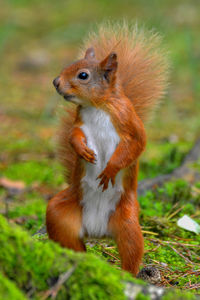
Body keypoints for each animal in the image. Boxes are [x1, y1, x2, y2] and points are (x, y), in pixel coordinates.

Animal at [46, 22, 168, 276]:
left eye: (83, 75)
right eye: (69, 65)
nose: (55, 82)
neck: (97, 106)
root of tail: (97, 230)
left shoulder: (130, 123)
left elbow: (137, 145)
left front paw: (111, 169)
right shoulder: (80, 123)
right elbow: (73, 136)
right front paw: (82, 151)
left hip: (128, 222)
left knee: (132, 251)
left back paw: (127, 275)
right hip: (60, 213)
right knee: (71, 241)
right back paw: (80, 261)